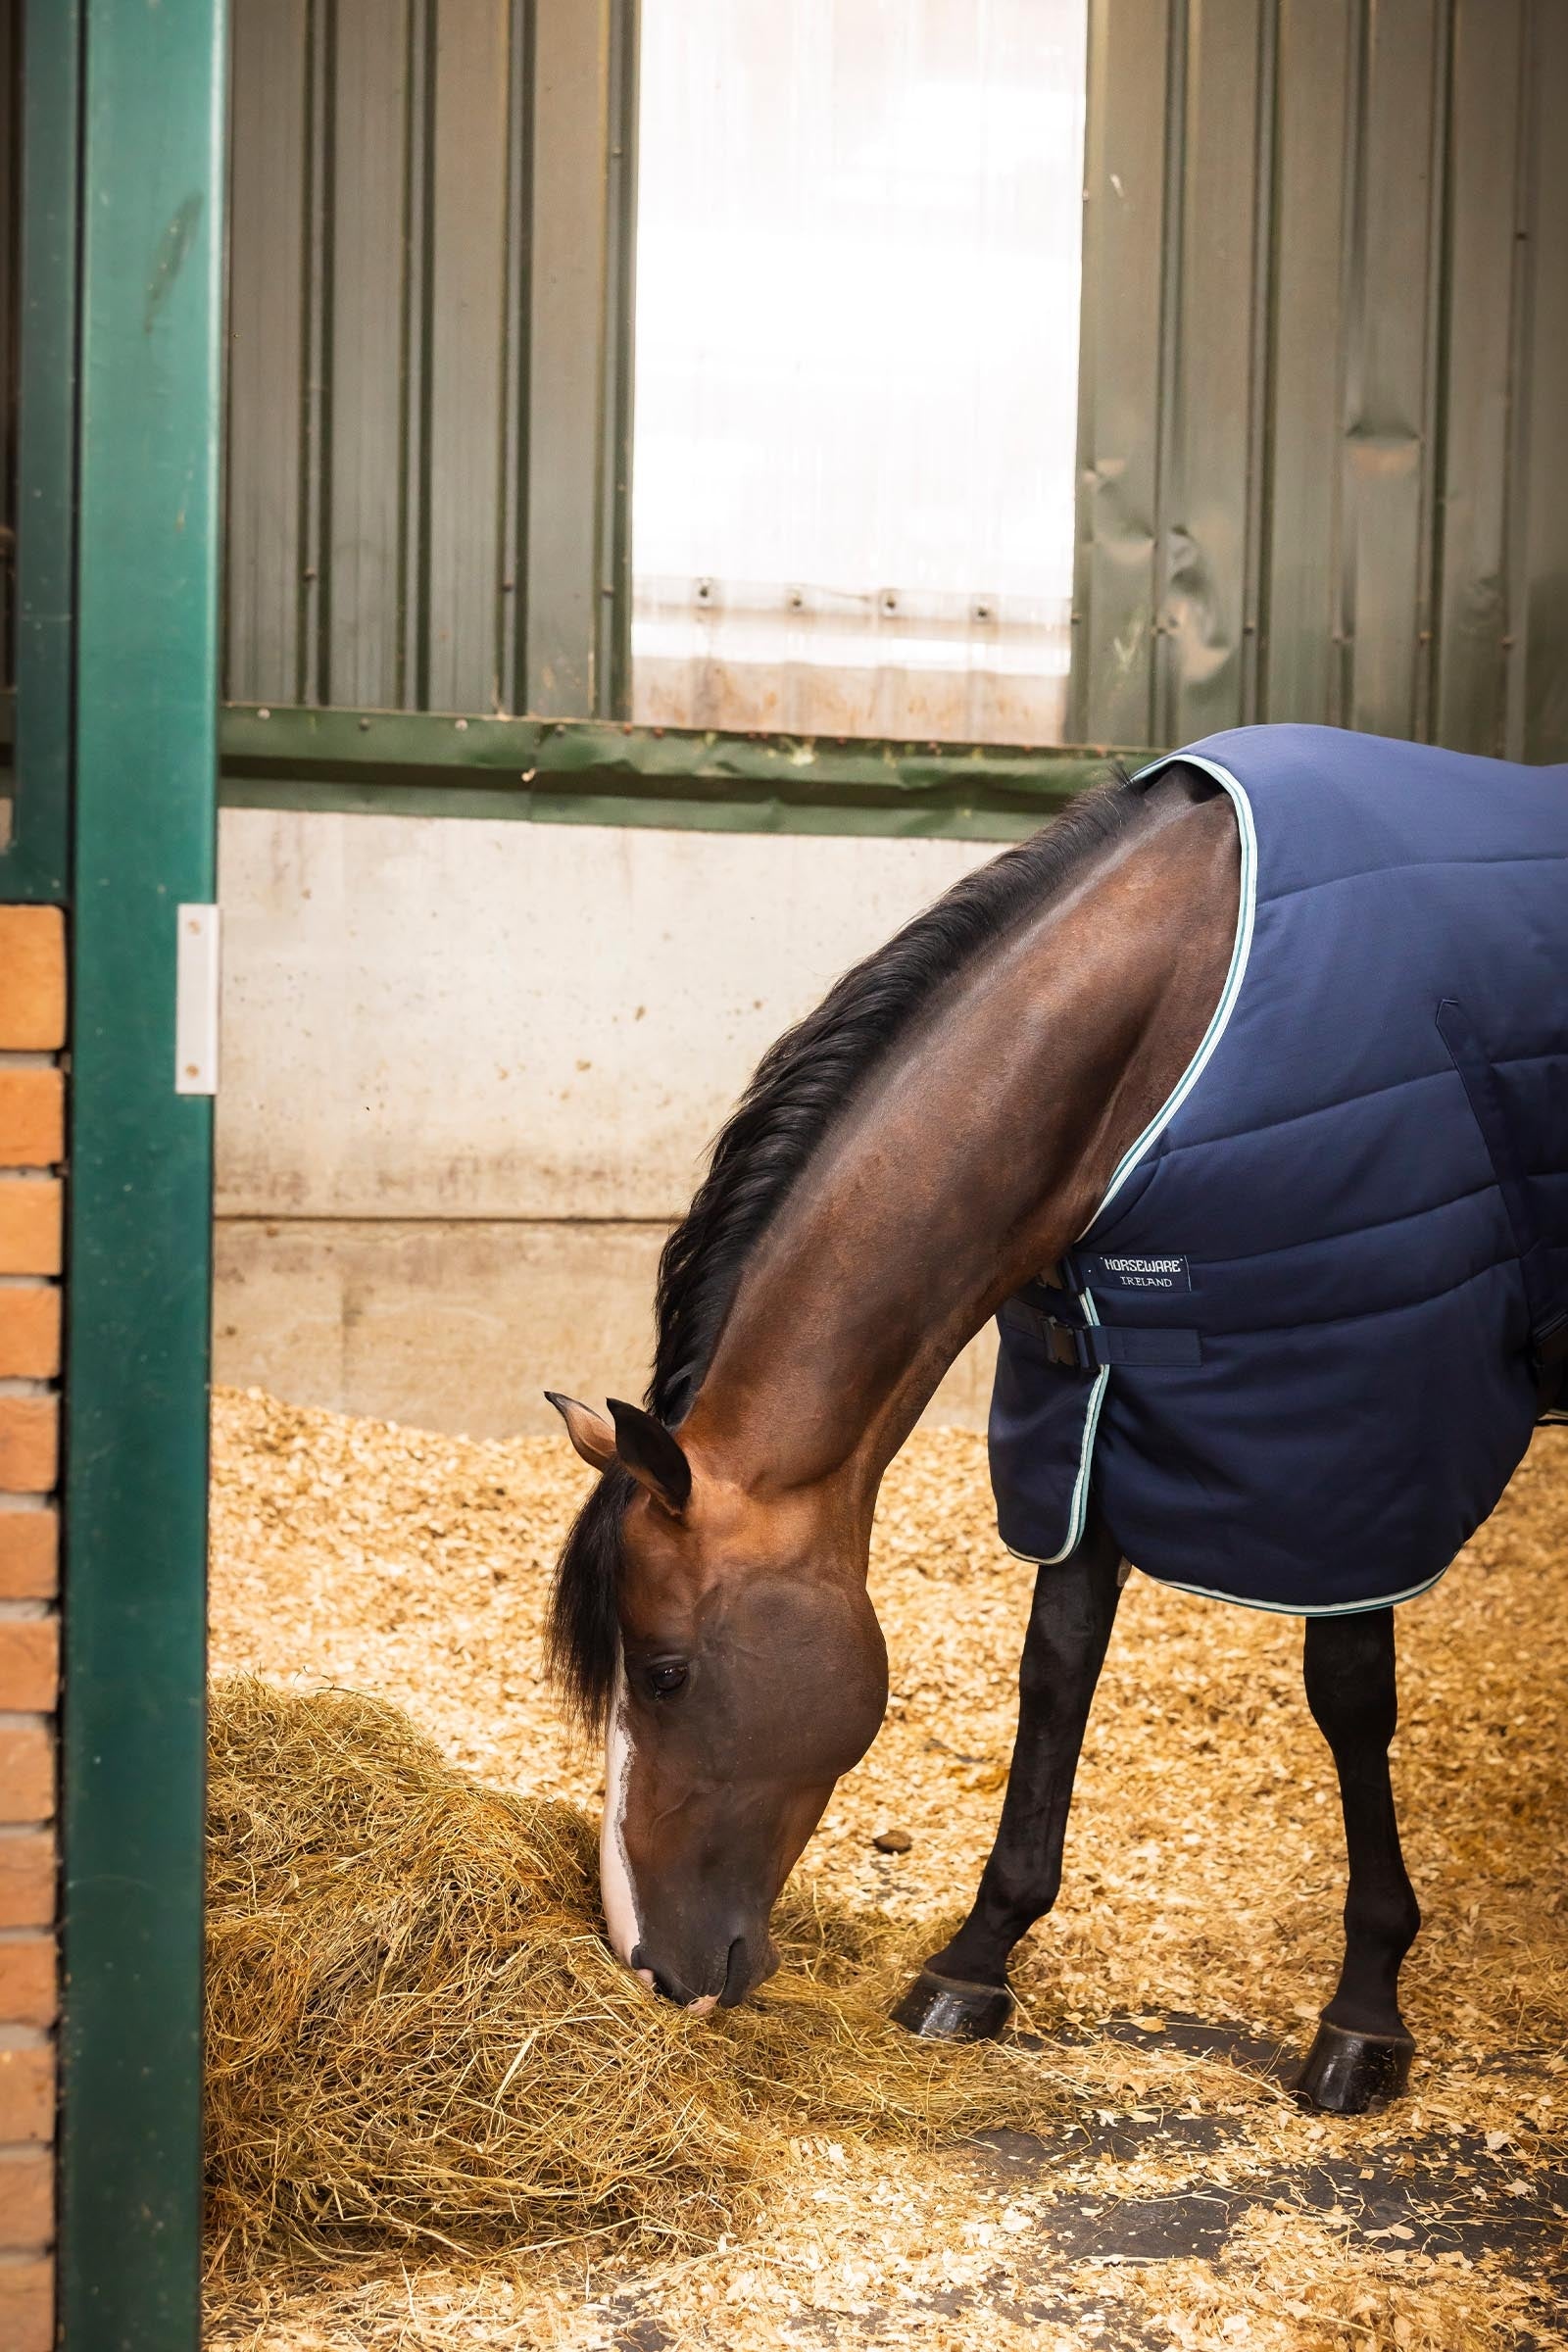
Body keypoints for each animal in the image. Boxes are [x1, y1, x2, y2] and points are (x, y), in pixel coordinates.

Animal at [546, 724, 1568, 2116]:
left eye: (661, 1672)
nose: (649, 1963)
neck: (1176, 1011)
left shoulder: (1349, 1413)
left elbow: (1349, 1696)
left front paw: (1364, 2012)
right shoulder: (1088, 1400)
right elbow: (1057, 1666)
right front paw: (977, 1958)